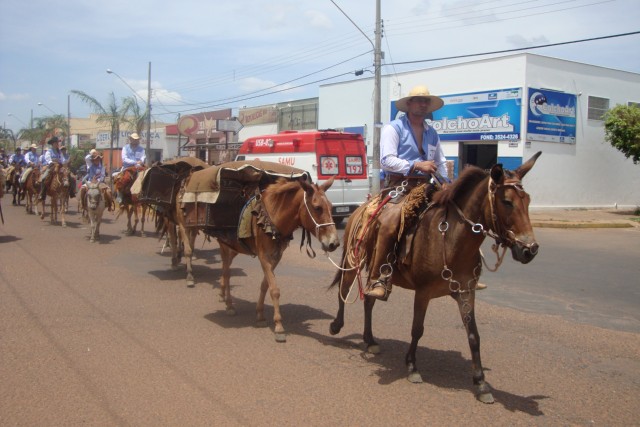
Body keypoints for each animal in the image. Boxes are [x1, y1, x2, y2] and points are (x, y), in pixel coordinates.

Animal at [175, 162, 340, 342]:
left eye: (331, 207)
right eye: (317, 208)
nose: (334, 243)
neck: (273, 217)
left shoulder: (276, 257)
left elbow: (265, 285)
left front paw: (260, 315)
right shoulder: (264, 256)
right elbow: (274, 289)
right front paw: (279, 327)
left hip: (233, 247)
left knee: (226, 270)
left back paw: (223, 295)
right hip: (217, 242)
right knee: (223, 270)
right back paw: (227, 303)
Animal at [328, 152, 544, 402]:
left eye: (528, 200)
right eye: (507, 202)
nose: (530, 250)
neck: (451, 240)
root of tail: (363, 207)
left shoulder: (465, 291)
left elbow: (474, 336)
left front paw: (481, 383)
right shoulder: (423, 292)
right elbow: (417, 329)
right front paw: (412, 366)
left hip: (374, 269)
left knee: (370, 300)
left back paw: (370, 340)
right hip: (353, 260)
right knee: (344, 290)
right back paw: (336, 326)